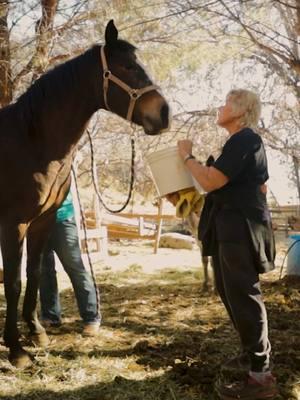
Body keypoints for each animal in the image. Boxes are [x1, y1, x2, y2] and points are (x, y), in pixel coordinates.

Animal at [0, 20, 170, 368]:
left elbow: (34, 274)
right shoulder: (14, 224)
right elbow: (13, 282)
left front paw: (36, 333)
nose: (164, 113)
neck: (30, 139)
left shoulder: (42, 221)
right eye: (128, 66)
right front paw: (16, 349)